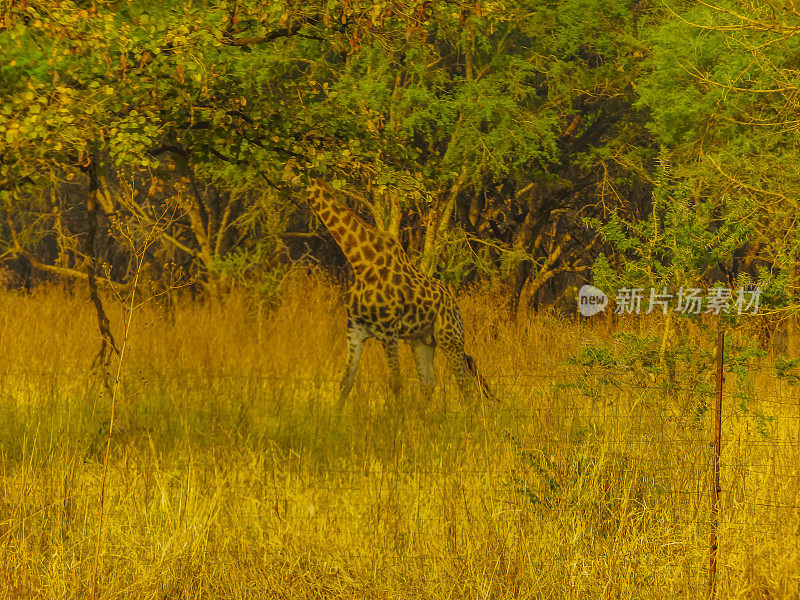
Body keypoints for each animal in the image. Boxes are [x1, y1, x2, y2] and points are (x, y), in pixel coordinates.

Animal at [304, 178, 496, 404]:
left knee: (465, 383)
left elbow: (395, 383)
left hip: (450, 338)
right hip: (422, 341)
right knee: (429, 382)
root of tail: (454, 304)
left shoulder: (388, 330)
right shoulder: (355, 329)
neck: (362, 263)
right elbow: (346, 382)